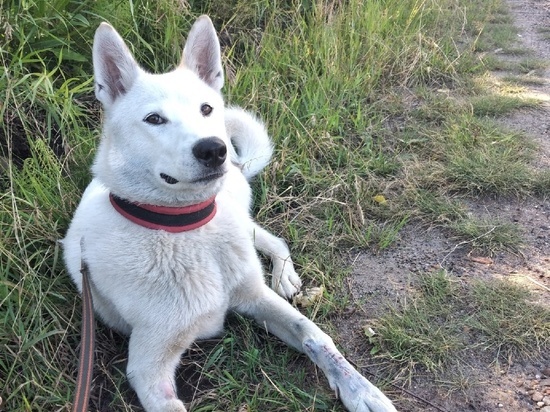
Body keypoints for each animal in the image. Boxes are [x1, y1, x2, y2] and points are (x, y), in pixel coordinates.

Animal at [63, 14, 396, 412]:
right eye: (154, 119)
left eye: (206, 109)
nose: (213, 149)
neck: (183, 229)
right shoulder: (148, 368)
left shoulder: (256, 298)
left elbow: (316, 337)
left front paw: (364, 392)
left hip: (239, 220)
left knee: (273, 240)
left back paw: (284, 276)